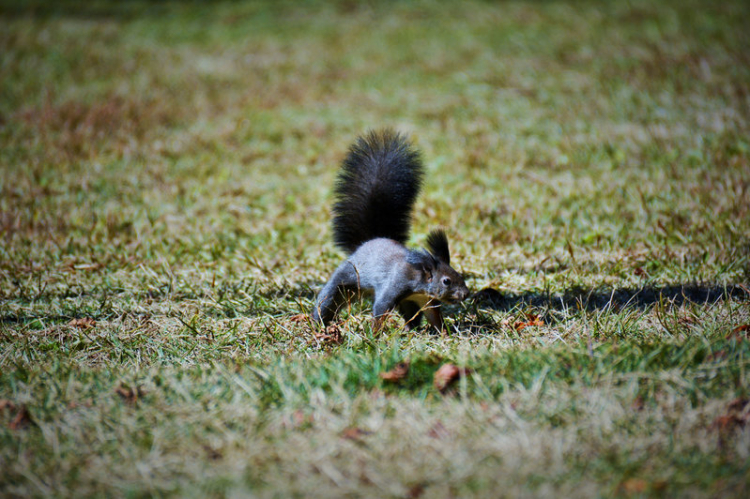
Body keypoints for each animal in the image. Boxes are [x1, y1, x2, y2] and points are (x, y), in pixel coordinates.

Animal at [312, 129, 470, 332]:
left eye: (458, 274)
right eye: (446, 281)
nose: (465, 294)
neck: (419, 281)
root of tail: (368, 242)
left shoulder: (427, 300)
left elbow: (435, 318)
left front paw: (444, 333)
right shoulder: (394, 287)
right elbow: (380, 310)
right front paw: (374, 334)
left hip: (408, 304)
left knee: (411, 316)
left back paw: (410, 330)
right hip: (347, 279)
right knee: (328, 300)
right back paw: (318, 323)